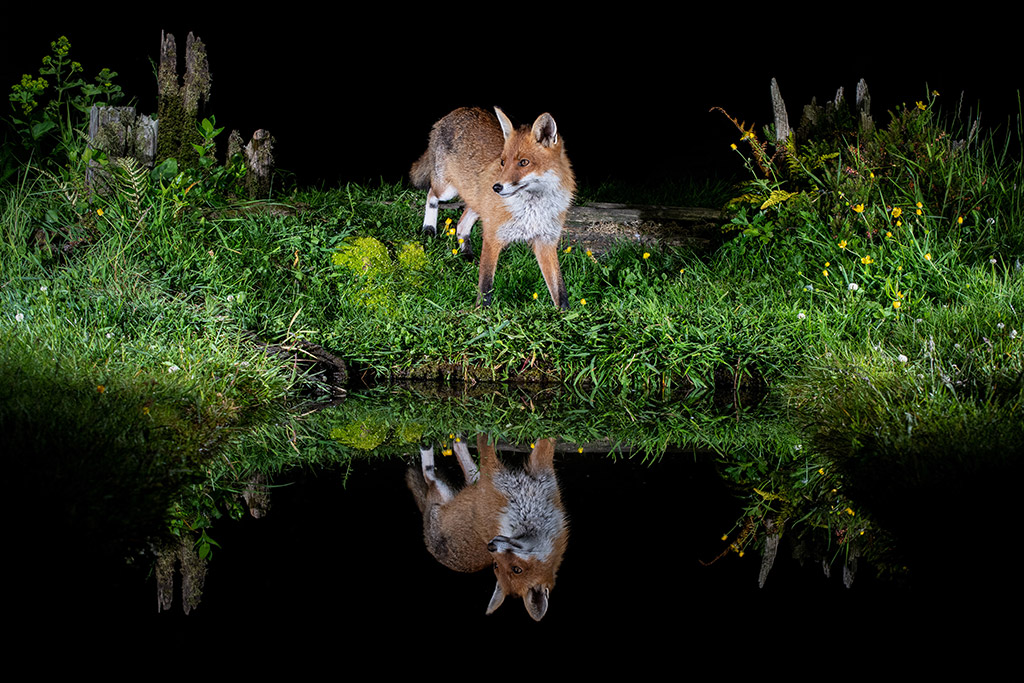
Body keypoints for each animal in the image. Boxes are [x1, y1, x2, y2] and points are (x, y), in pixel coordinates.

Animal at [405, 436, 569, 622]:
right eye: (496, 565)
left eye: (516, 569)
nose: (490, 546)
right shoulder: (534, 475)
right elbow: (541, 444)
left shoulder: (495, 482)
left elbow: (487, 447)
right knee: (456, 474)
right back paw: (454, 441)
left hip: (445, 491)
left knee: (431, 476)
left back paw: (436, 447)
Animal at [411, 105, 581, 307]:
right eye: (502, 162)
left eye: (524, 162)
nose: (497, 187)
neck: (533, 209)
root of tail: (457, 111)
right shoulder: (493, 236)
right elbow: (486, 284)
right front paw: (482, 311)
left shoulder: (546, 242)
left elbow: (559, 290)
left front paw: (565, 313)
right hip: (448, 190)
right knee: (431, 194)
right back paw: (429, 229)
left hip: (477, 203)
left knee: (461, 224)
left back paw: (467, 256)